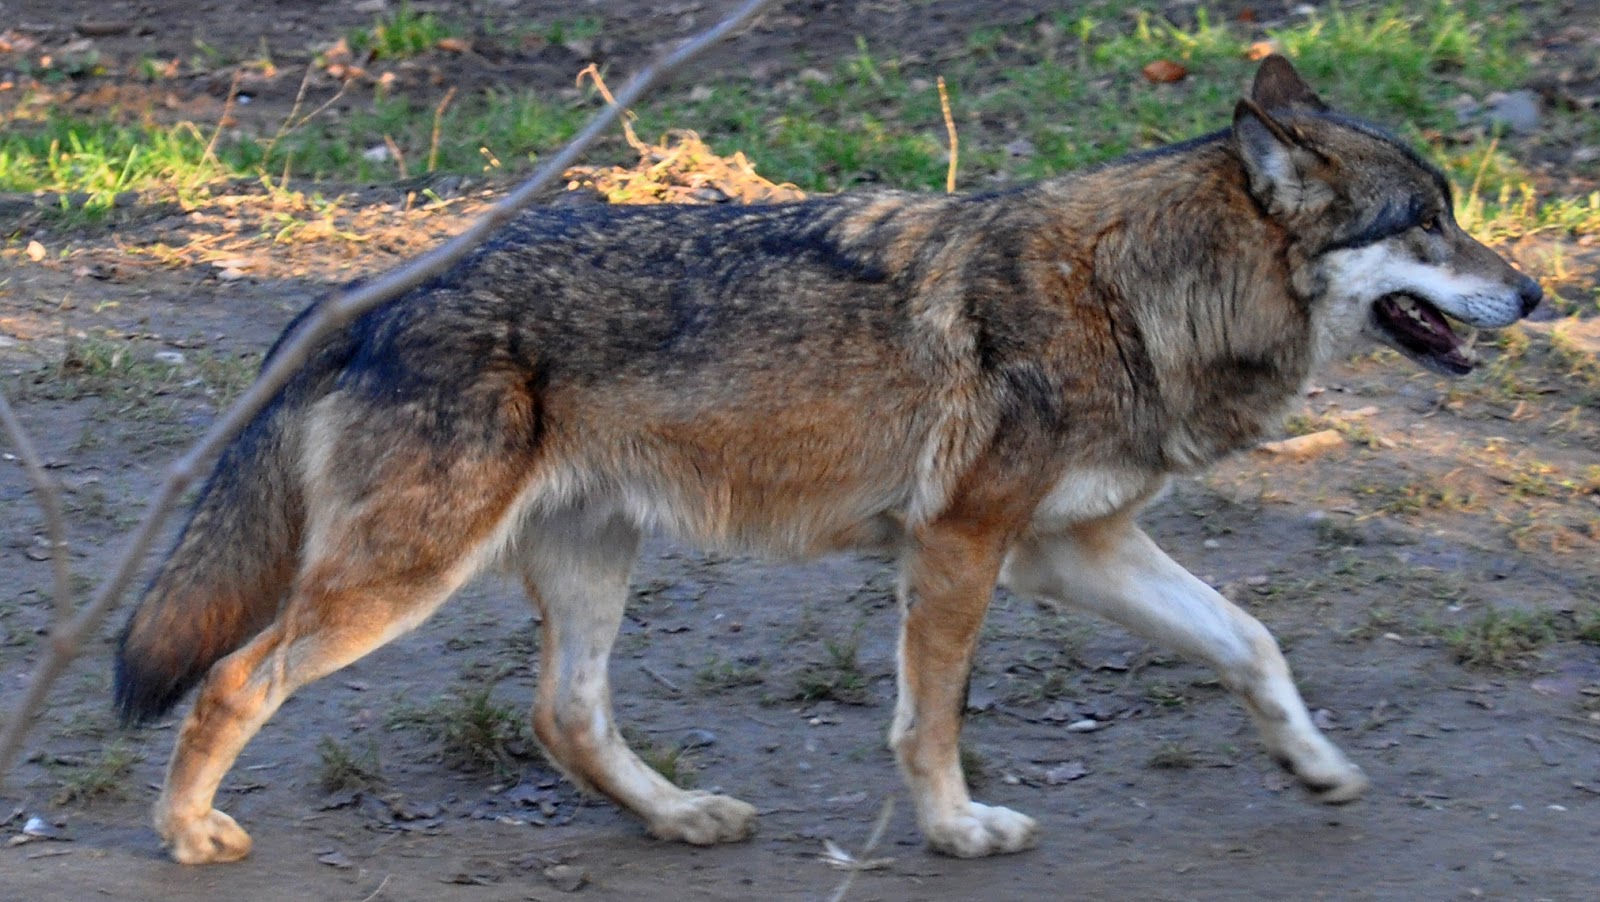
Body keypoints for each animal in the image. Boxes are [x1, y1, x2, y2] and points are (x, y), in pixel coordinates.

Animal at [115, 55, 1540, 864]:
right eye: (1427, 224)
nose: (1532, 292)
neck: (1138, 294)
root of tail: (362, 291)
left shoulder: (1073, 548)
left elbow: (1252, 641)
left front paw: (1316, 766)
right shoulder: (962, 545)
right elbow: (931, 718)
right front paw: (958, 829)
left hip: (589, 560)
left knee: (562, 714)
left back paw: (681, 817)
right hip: (405, 579)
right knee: (235, 679)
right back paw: (186, 833)